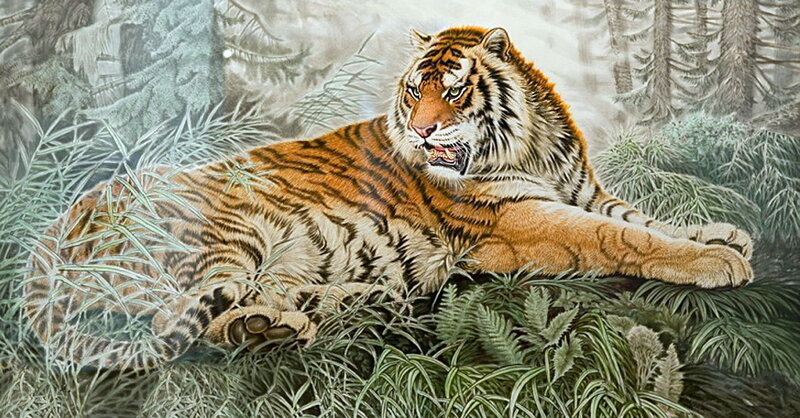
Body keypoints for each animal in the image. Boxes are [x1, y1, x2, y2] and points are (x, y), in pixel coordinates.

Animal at [23, 26, 753, 369]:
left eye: (453, 90)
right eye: (412, 91)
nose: (425, 130)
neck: (535, 145)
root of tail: (58, 225)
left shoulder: (584, 191)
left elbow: (642, 216)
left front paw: (725, 235)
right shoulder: (516, 220)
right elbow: (620, 235)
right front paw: (718, 262)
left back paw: (332, 309)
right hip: (231, 229)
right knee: (176, 319)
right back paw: (268, 329)